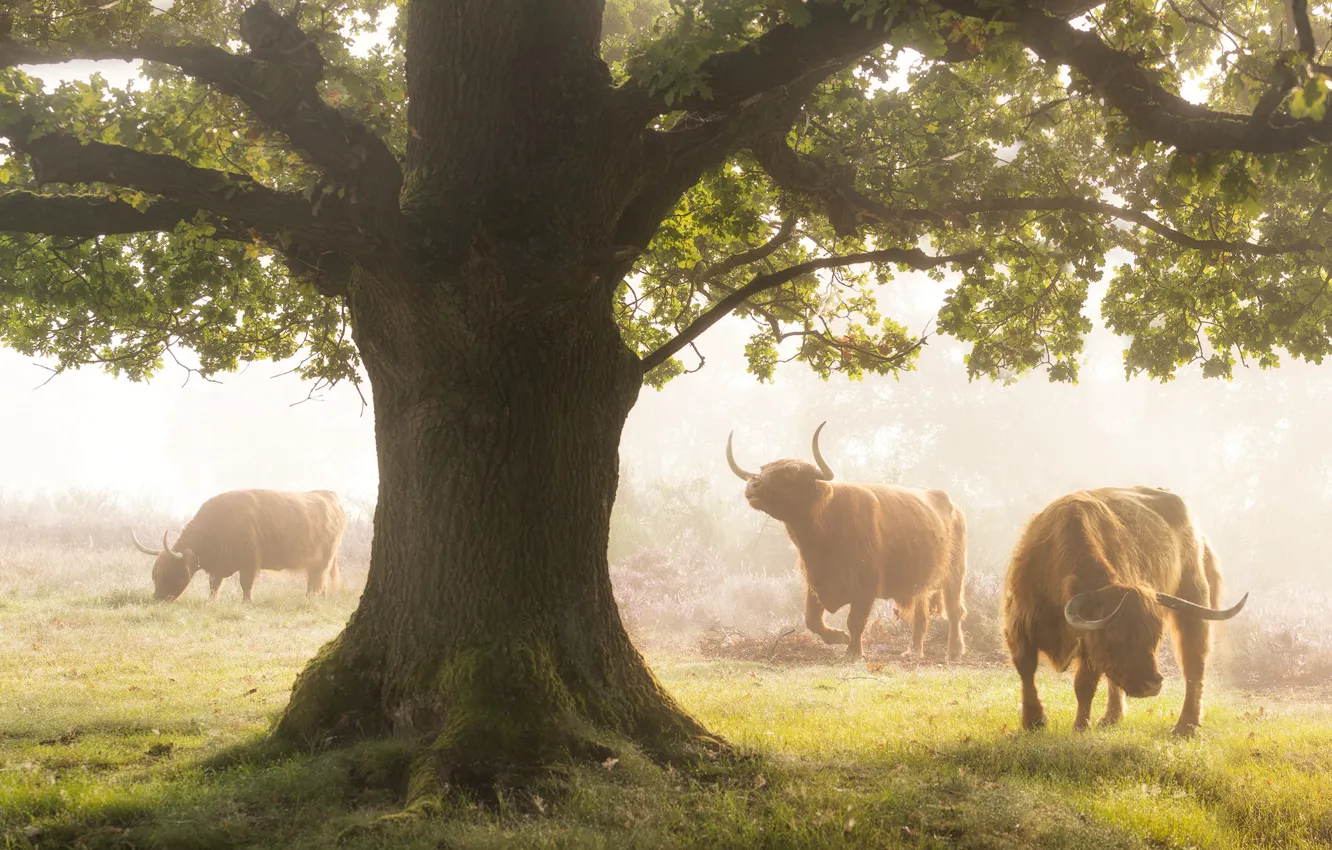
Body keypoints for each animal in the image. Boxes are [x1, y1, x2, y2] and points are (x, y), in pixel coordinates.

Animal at [132, 488, 347, 602]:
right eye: (154, 574)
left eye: (171, 573)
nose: (157, 598)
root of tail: (328, 494)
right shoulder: (217, 567)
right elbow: (214, 585)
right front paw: (211, 601)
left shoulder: (250, 563)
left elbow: (246, 584)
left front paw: (247, 602)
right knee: (315, 579)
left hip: (325, 558)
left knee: (318, 578)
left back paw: (312, 599)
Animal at [727, 422, 968, 661]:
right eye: (764, 469)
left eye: (791, 474)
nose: (753, 485)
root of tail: (953, 505)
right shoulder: (816, 582)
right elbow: (812, 620)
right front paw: (839, 637)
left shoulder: (865, 586)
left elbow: (855, 621)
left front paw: (853, 652)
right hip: (920, 580)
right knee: (921, 614)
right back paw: (913, 652)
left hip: (955, 572)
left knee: (955, 610)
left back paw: (955, 651)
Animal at [1002, 486, 1248, 736]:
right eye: (1115, 633)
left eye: (1155, 635)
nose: (1152, 684)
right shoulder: (1018, 625)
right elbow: (1026, 671)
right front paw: (1033, 721)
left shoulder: (1089, 646)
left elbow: (1084, 685)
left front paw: (1080, 726)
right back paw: (1112, 716)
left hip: (1193, 601)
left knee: (1194, 664)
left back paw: (1185, 725)